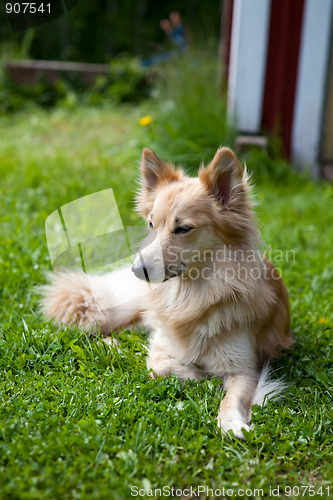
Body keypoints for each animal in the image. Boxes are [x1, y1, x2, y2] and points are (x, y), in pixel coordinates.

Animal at [40, 147, 292, 438]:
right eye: (152, 225)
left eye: (183, 228)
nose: (136, 270)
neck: (192, 297)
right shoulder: (160, 344)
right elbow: (157, 365)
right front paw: (198, 375)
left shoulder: (246, 370)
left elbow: (232, 399)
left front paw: (230, 422)